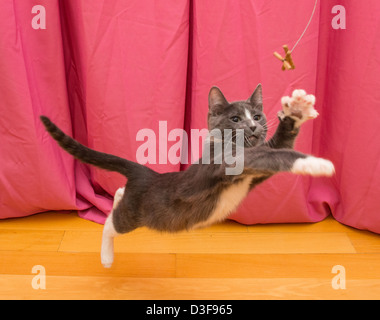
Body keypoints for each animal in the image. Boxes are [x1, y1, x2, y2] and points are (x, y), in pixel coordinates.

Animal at [40, 83, 334, 268]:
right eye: (235, 119)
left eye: (258, 116)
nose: (253, 126)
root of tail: (145, 174)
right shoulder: (224, 163)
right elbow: (273, 155)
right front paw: (317, 163)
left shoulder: (257, 165)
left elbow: (279, 144)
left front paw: (297, 110)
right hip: (137, 214)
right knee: (112, 224)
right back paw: (107, 257)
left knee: (119, 196)